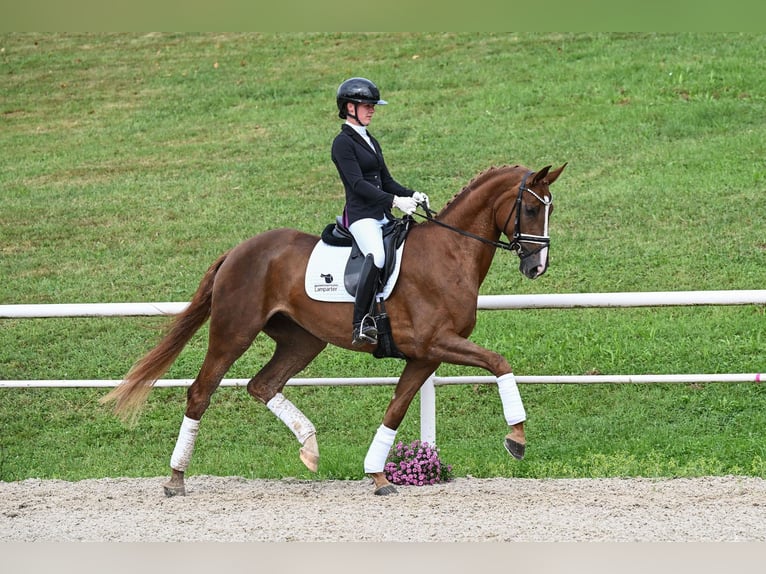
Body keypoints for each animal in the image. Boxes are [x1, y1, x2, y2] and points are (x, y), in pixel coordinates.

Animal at [102, 163, 568, 500]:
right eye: (530, 209)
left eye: (550, 209)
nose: (537, 267)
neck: (450, 252)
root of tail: (237, 250)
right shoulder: (437, 343)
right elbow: (498, 362)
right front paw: (516, 438)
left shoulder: (425, 355)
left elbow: (396, 409)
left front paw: (378, 476)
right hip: (234, 332)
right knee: (201, 391)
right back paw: (176, 478)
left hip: (302, 340)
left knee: (262, 384)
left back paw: (309, 449)